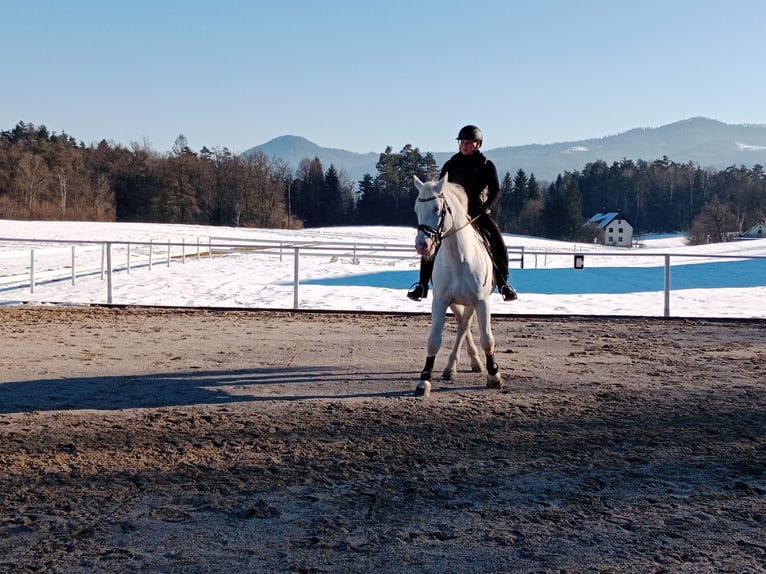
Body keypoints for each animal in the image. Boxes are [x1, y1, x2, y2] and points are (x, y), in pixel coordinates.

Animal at [414, 173, 504, 398]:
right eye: (416, 209)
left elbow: (487, 339)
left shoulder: (481, 301)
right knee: (463, 325)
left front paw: (494, 375)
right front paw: (424, 381)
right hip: (456, 301)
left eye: (437, 208)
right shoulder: (440, 301)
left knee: (464, 326)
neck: (460, 256)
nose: (422, 245)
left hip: (473, 302)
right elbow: (434, 340)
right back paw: (451, 367)